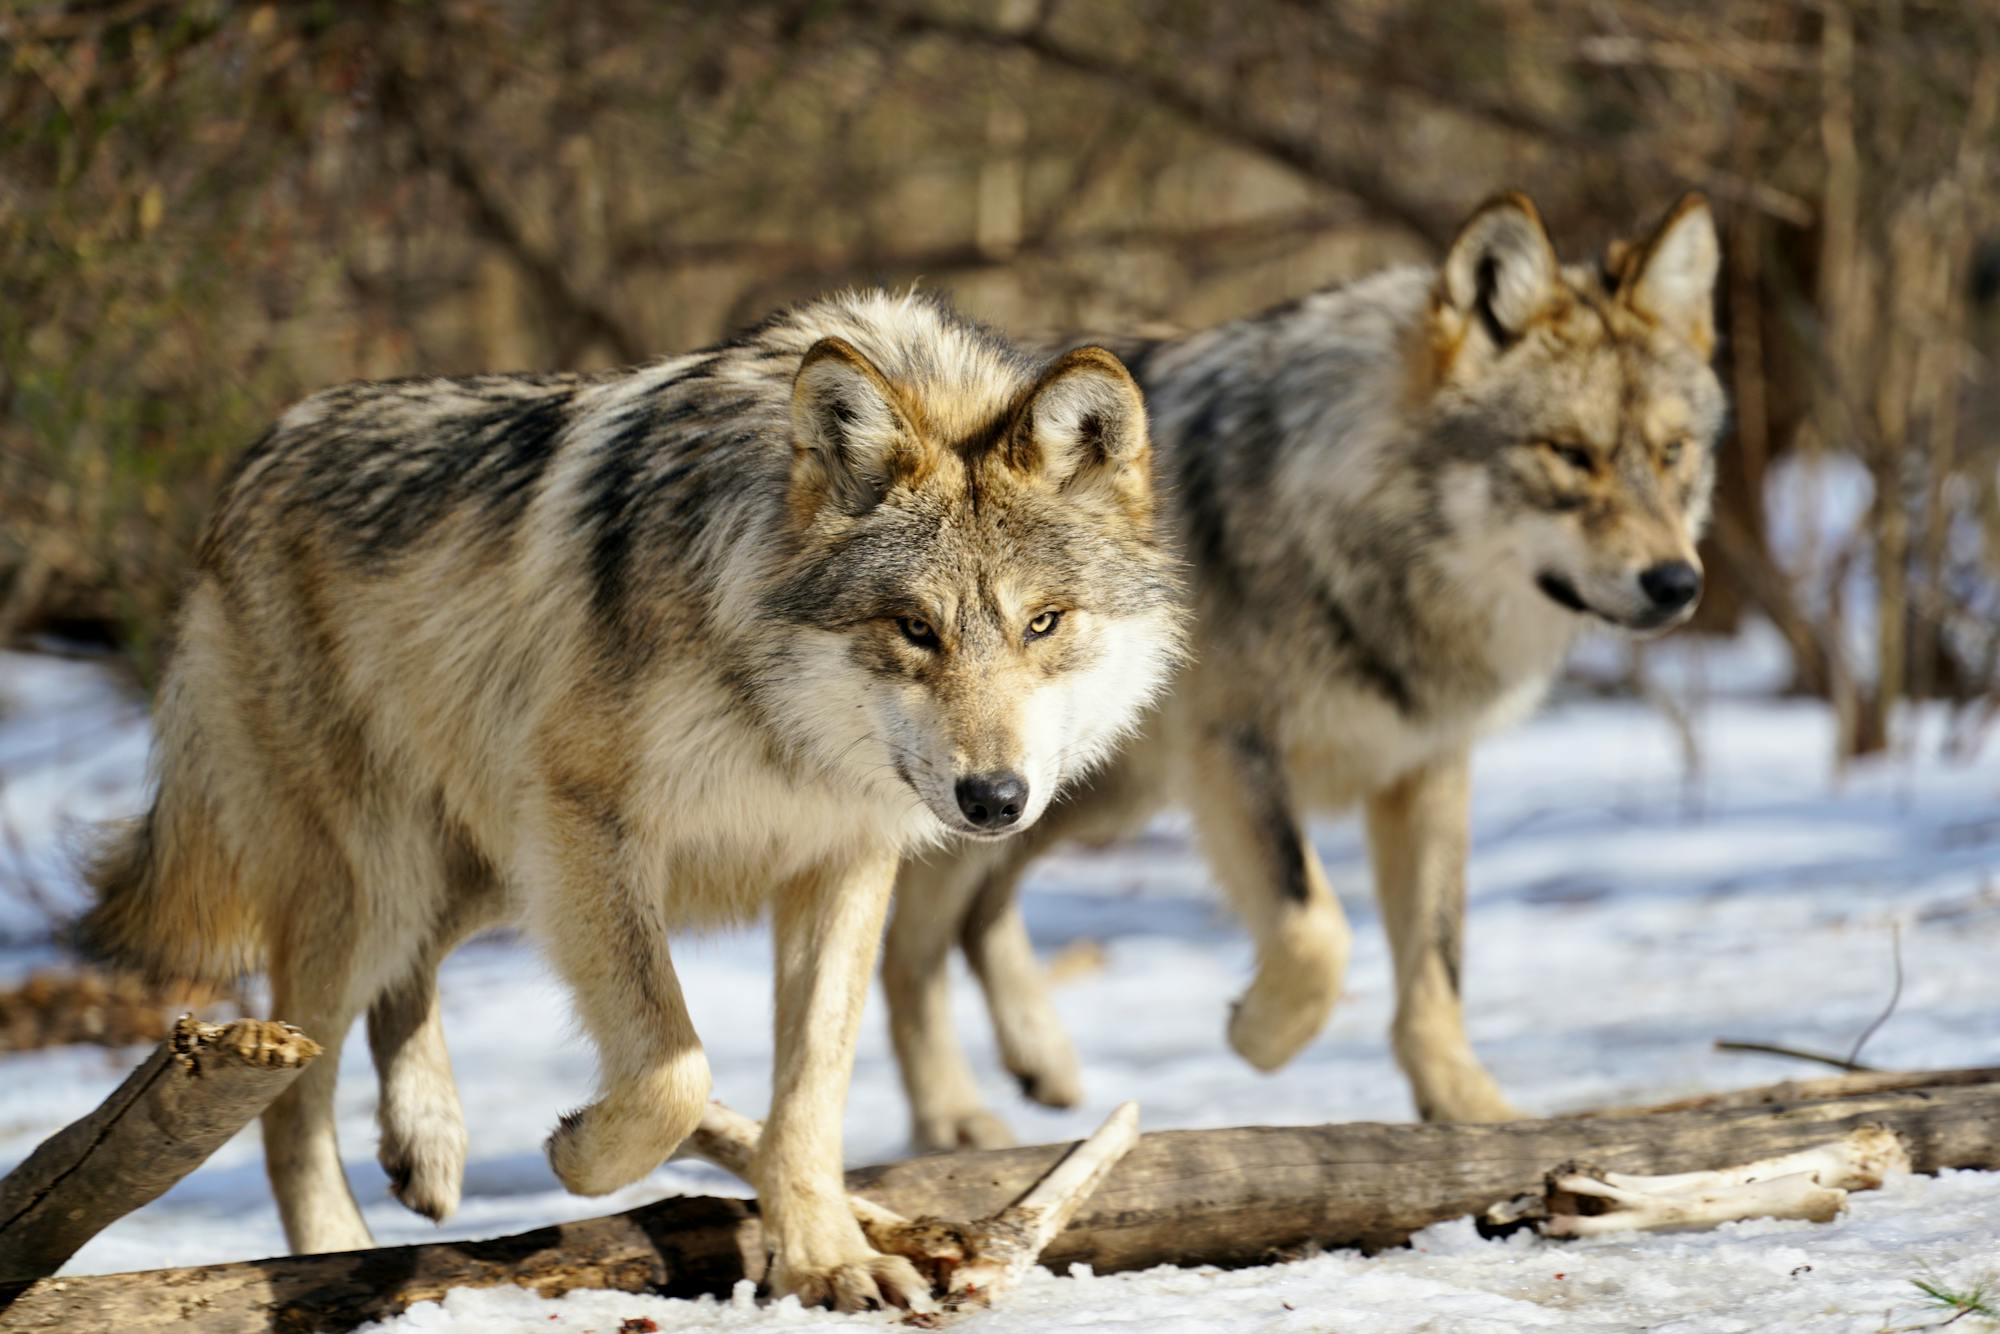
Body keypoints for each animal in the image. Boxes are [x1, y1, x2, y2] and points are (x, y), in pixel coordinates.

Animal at [82, 294, 1184, 1312]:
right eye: (914, 627)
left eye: (1043, 622)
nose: (994, 798)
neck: (778, 714)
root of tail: (260, 451)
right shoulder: (589, 823)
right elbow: (670, 1067)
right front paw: (580, 1154)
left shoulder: (838, 863)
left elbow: (811, 1091)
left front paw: (826, 1259)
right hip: (386, 871)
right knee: (292, 1088)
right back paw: (331, 1248)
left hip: (489, 861)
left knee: (404, 983)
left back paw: (427, 1144)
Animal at [884, 190, 1728, 1152]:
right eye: (1568, 453)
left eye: (1671, 453)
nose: (1677, 583)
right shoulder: (1232, 753)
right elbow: (1315, 926)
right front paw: (1256, 1033)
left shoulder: (1425, 767)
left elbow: (1438, 961)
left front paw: (1471, 1113)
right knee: (909, 946)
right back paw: (951, 1118)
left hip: (1075, 791)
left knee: (979, 913)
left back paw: (1041, 1062)